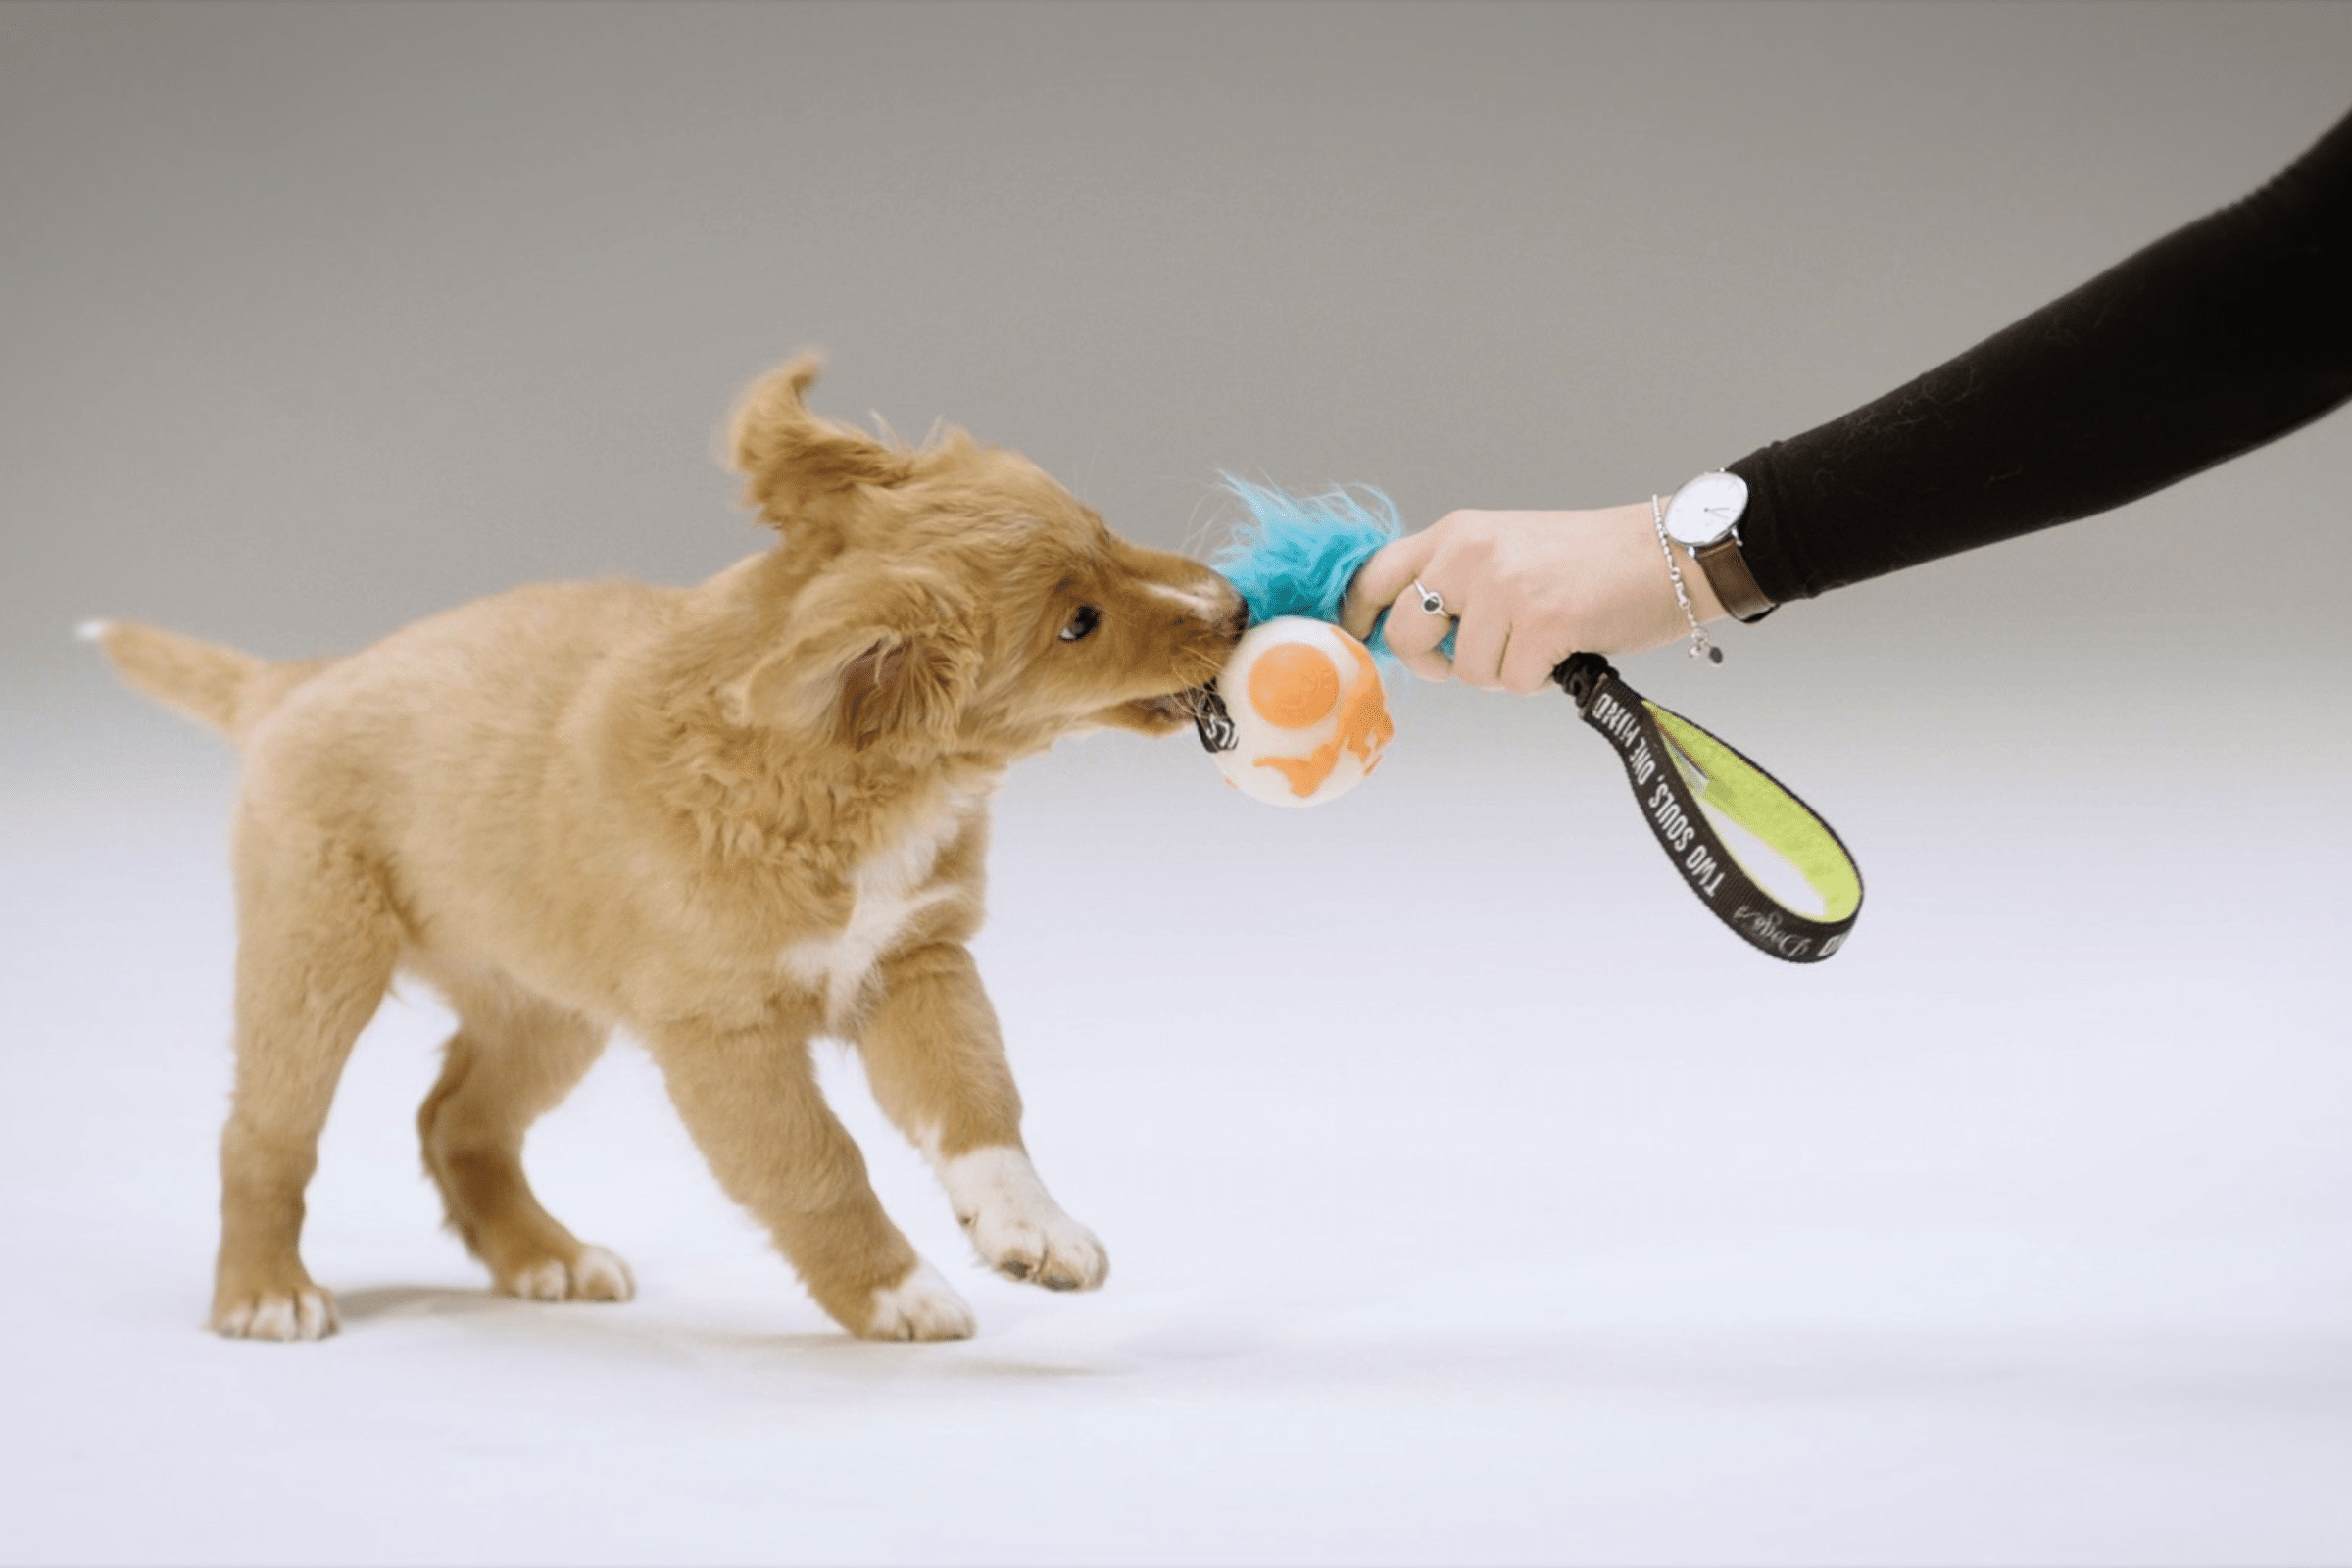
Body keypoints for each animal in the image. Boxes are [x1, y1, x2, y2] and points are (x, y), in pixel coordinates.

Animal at [96, 362, 1250, 1345]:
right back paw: (264, 1292)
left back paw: (543, 1256)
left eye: (1106, 532)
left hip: (546, 1006)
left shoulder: (916, 963)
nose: (1237, 610)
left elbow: (980, 1107)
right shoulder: (723, 1036)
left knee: (457, 1119)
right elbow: (816, 1164)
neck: (859, 792)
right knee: (266, 1134)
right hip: (313, 967)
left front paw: (1030, 1229)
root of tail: (299, 679)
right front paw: (895, 1293)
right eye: (1078, 623)